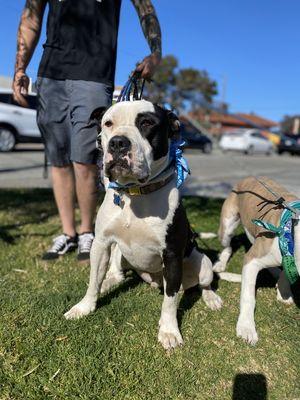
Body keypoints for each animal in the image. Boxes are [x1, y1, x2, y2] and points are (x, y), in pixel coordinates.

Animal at [64, 101, 221, 350]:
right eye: (108, 123)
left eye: (147, 123)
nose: (117, 142)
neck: (135, 193)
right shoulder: (101, 244)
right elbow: (93, 280)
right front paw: (85, 306)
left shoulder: (172, 255)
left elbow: (170, 300)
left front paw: (169, 331)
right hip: (119, 252)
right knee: (116, 273)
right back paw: (109, 282)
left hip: (202, 261)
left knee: (201, 284)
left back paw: (211, 298)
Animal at [212, 177, 298, 346]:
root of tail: (249, 177)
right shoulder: (251, 260)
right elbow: (248, 297)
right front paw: (246, 328)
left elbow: (285, 275)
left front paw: (283, 292)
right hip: (227, 226)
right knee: (228, 246)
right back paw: (221, 263)